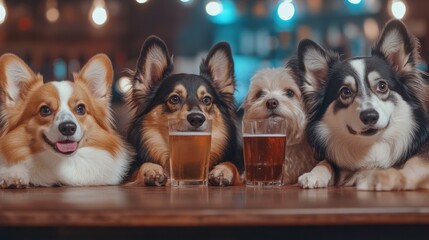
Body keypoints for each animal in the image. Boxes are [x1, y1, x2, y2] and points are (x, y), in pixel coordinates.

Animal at [125, 35, 242, 187]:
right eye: (174, 99)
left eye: (206, 100)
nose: (197, 119)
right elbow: (139, 167)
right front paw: (152, 169)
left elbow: (233, 165)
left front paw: (222, 170)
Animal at [296, 19, 428, 190]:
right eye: (345, 92)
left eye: (382, 86)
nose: (370, 116)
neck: (372, 147)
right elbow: (326, 162)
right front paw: (314, 174)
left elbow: (413, 165)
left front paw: (380, 177)